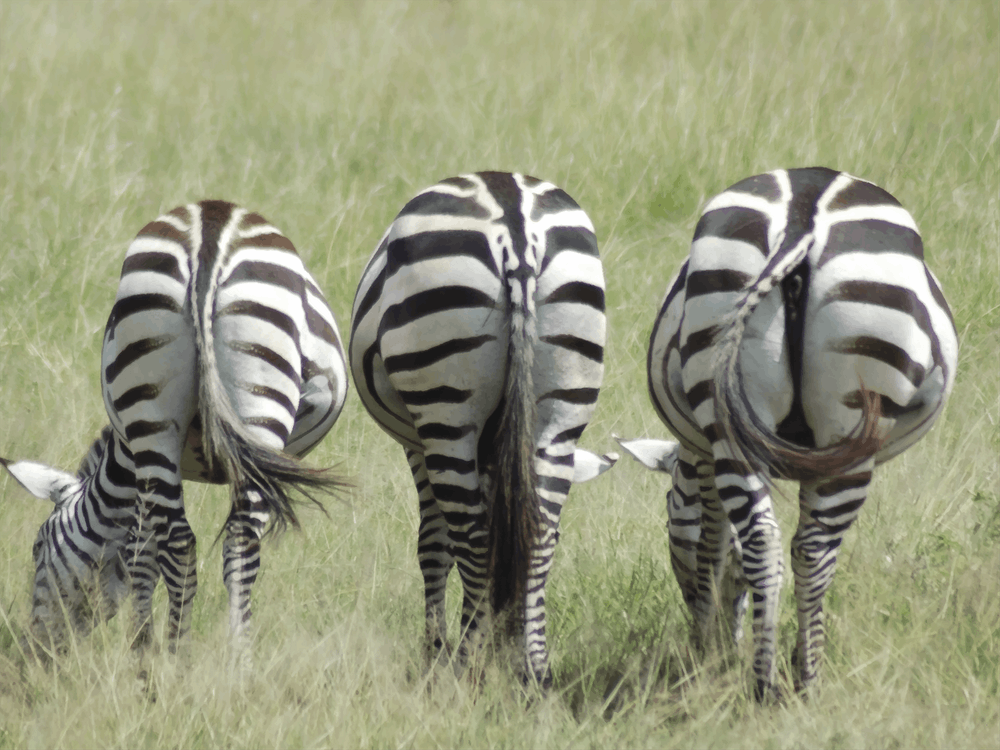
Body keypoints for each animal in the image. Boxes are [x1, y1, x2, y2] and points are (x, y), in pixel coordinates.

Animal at [1, 200, 348, 659]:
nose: (34, 651)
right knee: (232, 543)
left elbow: (139, 553)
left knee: (182, 543)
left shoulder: (137, 469)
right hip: (251, 410)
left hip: (154, 416)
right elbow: (143, 554)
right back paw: (217, 659)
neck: (119, 462)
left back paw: (173, 662)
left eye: (38, 546)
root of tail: (210, 229)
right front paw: (145, 645)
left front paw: (141, 645)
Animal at [349, 172, 614, 687]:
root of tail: (515, 225)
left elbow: (434, 543)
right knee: (538, 531)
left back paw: (466, 668)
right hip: (561, 409)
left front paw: (435, 653)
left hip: (445, 409)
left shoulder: (418, 444)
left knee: (471, 537)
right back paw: (533, 672)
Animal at [618, 167, 958, 700]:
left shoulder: (708, 452)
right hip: (851, 424)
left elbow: (719, 549)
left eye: (669, 508)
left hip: (730, 405)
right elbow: (721, 549)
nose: (701, 638)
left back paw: (765, 683)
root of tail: (802, 215)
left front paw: (722, 650)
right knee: (812, 552)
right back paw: (803, 682)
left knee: (766, 542)